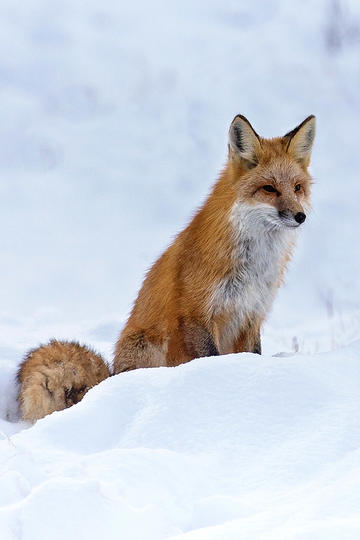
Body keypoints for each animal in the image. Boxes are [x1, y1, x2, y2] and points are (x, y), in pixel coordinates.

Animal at [113, 114, 316, 374]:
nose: (301, 216)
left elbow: (253, 353)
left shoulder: (251, 314)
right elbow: (210, 356)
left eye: (297, 188)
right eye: (269, 188)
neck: (252, 266)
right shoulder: (197, 313)